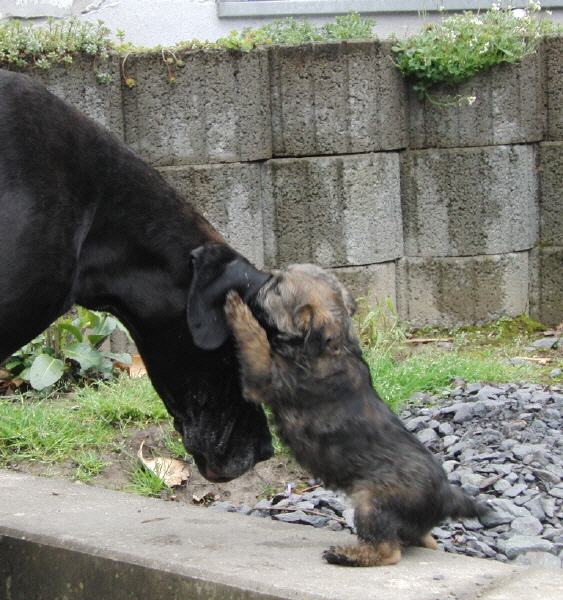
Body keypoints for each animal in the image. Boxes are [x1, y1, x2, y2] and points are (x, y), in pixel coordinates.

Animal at [224, 264, 484, 564]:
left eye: (276, 287)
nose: (259, 279)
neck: (332, 343)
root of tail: (446, 494)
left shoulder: (265, 377)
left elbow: (254, 340)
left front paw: (236, 307)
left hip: (370, 502)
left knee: (389, 551)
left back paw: (345, 555)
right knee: (423, 541)